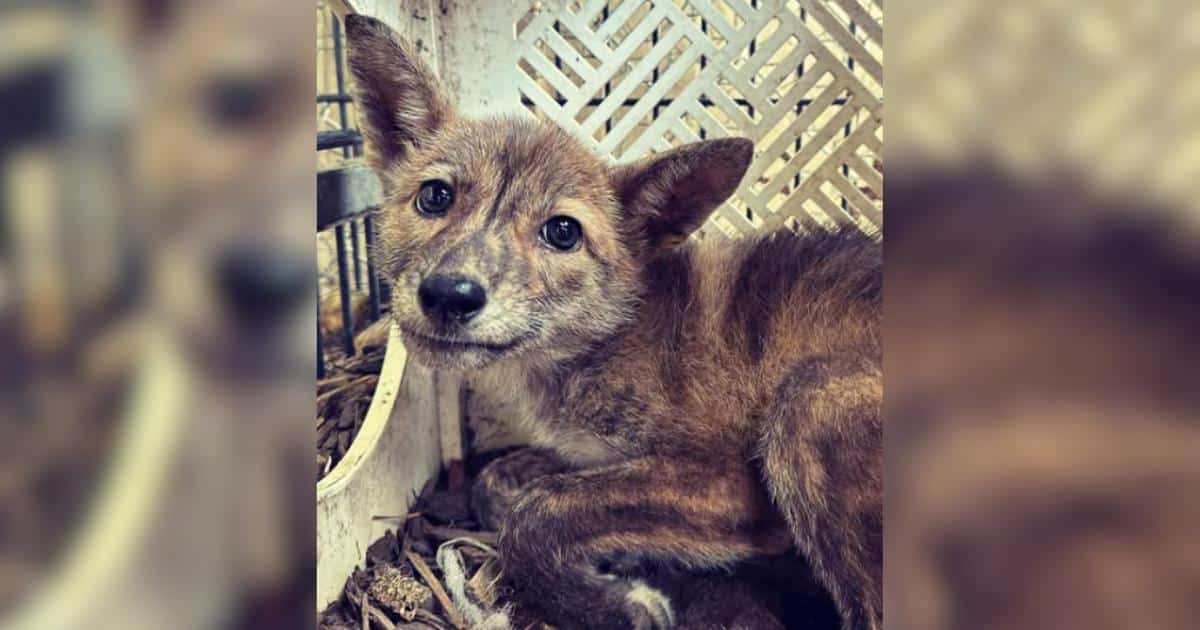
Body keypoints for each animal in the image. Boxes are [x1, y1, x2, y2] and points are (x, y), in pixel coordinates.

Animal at [344, 14, 882, 630]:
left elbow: (538, 513)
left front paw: (611, 605)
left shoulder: (729, 484)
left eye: (562, 232)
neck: (610, 338)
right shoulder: (586, 453)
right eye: (435, 197)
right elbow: (500, 481)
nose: (448, 295)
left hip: (810, 401)